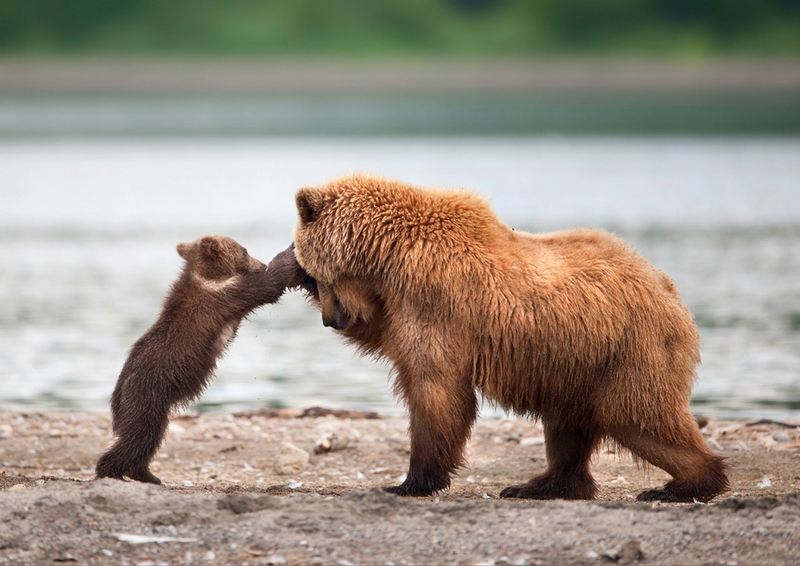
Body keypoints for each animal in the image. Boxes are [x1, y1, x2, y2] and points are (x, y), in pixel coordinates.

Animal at [292, 173, 724, 502]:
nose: (331, 320)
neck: (389, 256)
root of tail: (668, 289)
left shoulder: (435, 301)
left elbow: (436, 390)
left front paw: (410, 482)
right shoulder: (398, 306)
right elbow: (383, 335)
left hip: (629, 349)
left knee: (639, 416)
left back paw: (685, 484)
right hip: (575, 362)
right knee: (568, 426)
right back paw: (542, 485)